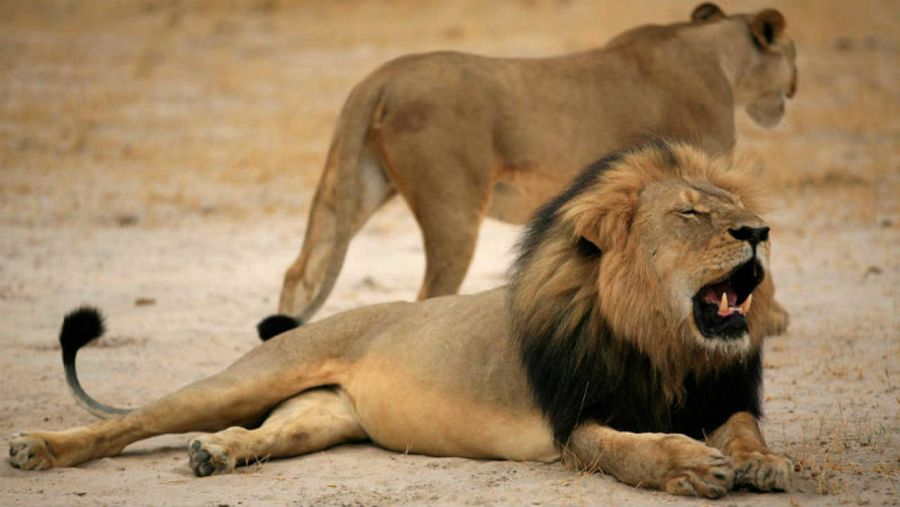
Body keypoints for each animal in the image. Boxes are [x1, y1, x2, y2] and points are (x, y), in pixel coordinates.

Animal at [9, 142, 791, 499]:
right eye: (691, 213)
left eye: (734, 208)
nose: (760, 231)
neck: (665, 344)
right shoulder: (576, 422)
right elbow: (635, 449)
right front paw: (691, 466)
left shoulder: (719, 394)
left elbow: (744, 429)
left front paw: (762, 462)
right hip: (248, 377)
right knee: (131, 422)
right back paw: (38, 448)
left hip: (320, 416)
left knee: (262, 433)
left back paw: (216, 454)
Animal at [271, 3, 797, 336]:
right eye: (792, 53)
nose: (792, 89)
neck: (719, 56)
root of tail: (378, 77)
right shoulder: (699, 173)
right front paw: (770, 318)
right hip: (452, 206)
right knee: (429, 293)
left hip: (358, 184)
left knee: (302, 270)